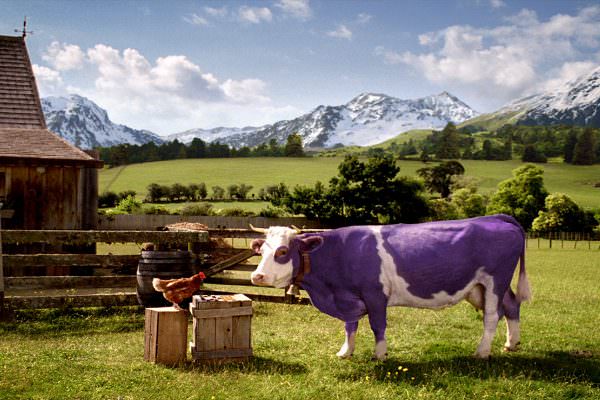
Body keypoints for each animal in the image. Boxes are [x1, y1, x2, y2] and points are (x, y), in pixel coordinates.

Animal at [248, 214, 528, 360]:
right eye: (260, 250)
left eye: (283, 251)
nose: (257, 276)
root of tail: (495, 218)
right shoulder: (348, 297)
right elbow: (350, 326)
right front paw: (345, 352)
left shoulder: (374, 295)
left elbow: (377, 326)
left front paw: (380, 354)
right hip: (480, 287)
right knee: (511, 306)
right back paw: (511, 344)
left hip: (495, 280)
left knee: (492, 315)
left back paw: (482, 351)